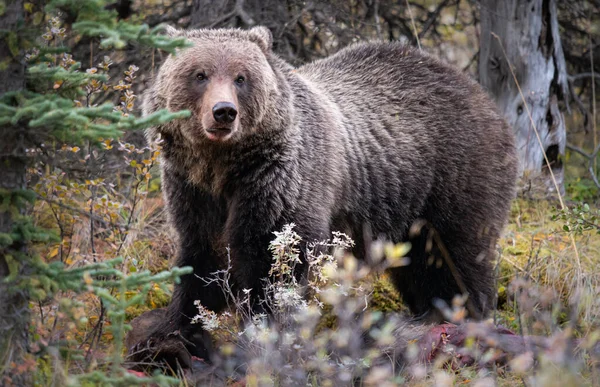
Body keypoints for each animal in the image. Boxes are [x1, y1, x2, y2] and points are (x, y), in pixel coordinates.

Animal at [129, 26, 516, 366]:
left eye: (241, 77)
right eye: (200, 74)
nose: (224, 111)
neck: (223, 167)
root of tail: (475, 88)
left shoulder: (280, 180)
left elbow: (275, 262)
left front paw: (265, 335)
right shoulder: (193, 192)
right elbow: (201, 262)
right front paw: (168, 336)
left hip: (455, 177)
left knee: (455, 258)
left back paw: (465, 319)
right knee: (419, 270)